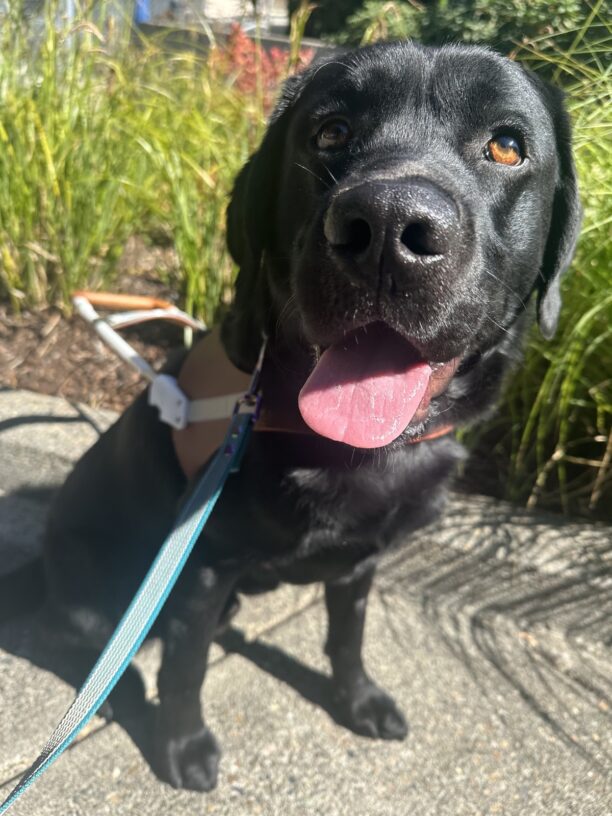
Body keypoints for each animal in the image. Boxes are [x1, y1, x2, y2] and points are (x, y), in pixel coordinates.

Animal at [32, 43, 580, 792]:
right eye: (330, 131)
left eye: (506, 145)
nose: (387, 228)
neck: (361, 451)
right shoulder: (204, 566)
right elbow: (184, 668)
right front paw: (182, 744)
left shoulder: (359, 563)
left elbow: (346, 639)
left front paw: (358, 700)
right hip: (104, 583)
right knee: (102, 654)